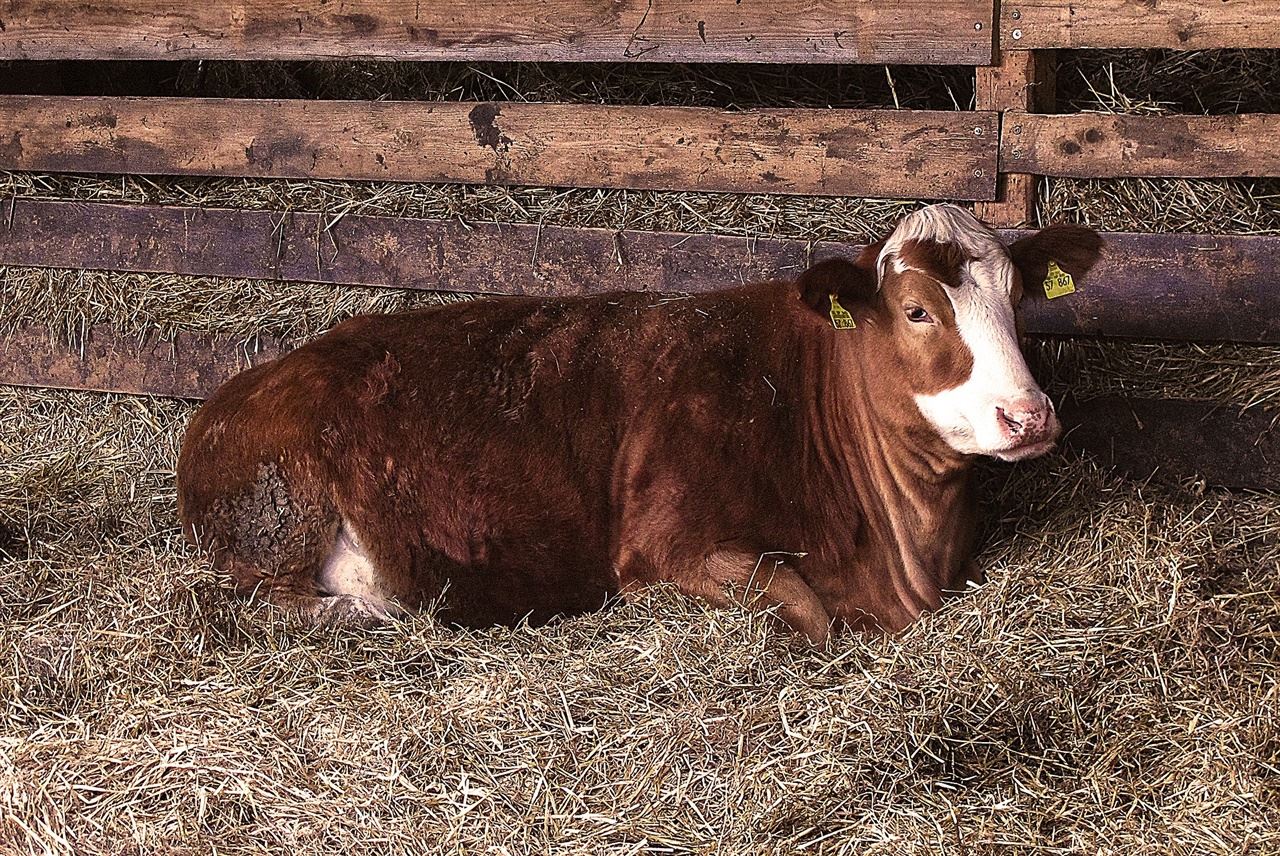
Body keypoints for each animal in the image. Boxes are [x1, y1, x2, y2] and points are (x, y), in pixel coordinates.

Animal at [176, 204, 1102, 645]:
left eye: (1018, 297)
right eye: (915, 309)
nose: (1029, 414)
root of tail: (234, 392)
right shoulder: (665, 546)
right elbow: (807, 612)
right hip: (276, 529)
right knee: (260, 605)